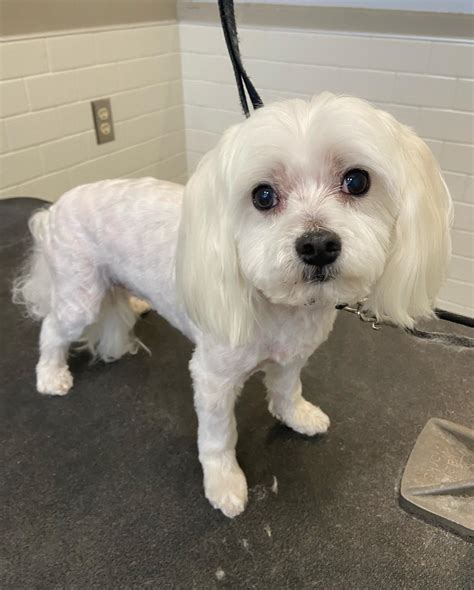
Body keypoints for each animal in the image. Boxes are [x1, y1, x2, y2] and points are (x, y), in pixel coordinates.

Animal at [13, 92, 452, 520]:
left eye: (357, 181)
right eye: (263, 196)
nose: (317, 245)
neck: (284, 307)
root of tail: (54, 208)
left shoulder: (292, 356)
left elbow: (287, 389)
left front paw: (297, 415)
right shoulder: (213, 378)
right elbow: (218, 437)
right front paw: (224, 483)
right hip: (79, 295)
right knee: (52, 329)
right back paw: (50, 376)